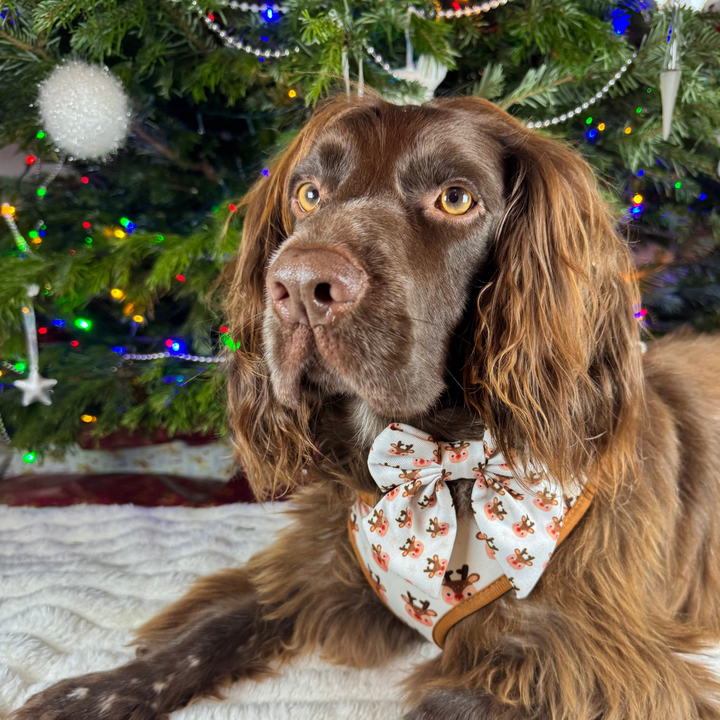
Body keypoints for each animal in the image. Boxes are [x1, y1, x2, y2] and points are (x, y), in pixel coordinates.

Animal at [9, 97, 720, 720]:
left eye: (456, 198)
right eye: (308, 194)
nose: (299, 285)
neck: (442, 462)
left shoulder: (582, 661)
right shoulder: (321, 565)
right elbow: (208, 631)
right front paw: (85, 694)